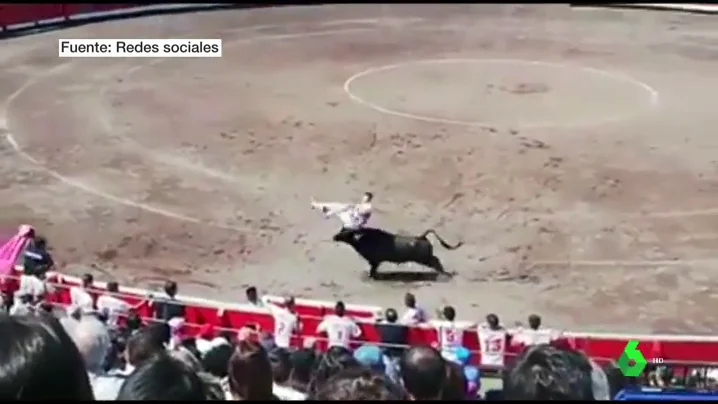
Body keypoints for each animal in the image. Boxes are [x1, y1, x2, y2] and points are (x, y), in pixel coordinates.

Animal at [334, 227, 466, 278]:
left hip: (425, 258)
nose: (334, 236)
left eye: (346, 233)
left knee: (435, 261)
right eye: (342, 230)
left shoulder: (375, 261)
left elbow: (373, 270)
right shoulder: (374, 262)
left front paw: (372, 276)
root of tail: (421, 237)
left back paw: (443, 273)